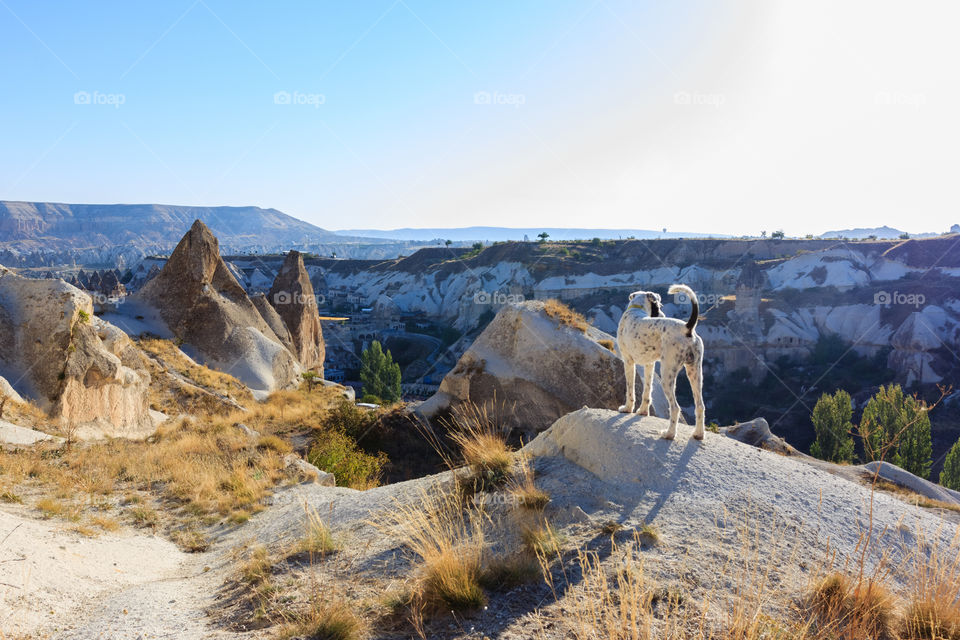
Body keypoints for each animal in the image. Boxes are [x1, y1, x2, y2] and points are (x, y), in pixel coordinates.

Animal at [616, 284, 704, 440]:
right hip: (695, 373)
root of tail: (687, 328)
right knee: (700, 406)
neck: (635, 309)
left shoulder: (628, 362)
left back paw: (669, 433)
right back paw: (698, 434)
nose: (662, 314)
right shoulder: (649, 365)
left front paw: (627, 408)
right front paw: (643, 411)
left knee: (675, 408)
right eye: (659, 305)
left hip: (667, 375)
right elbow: (647, 391)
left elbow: (630, 390)